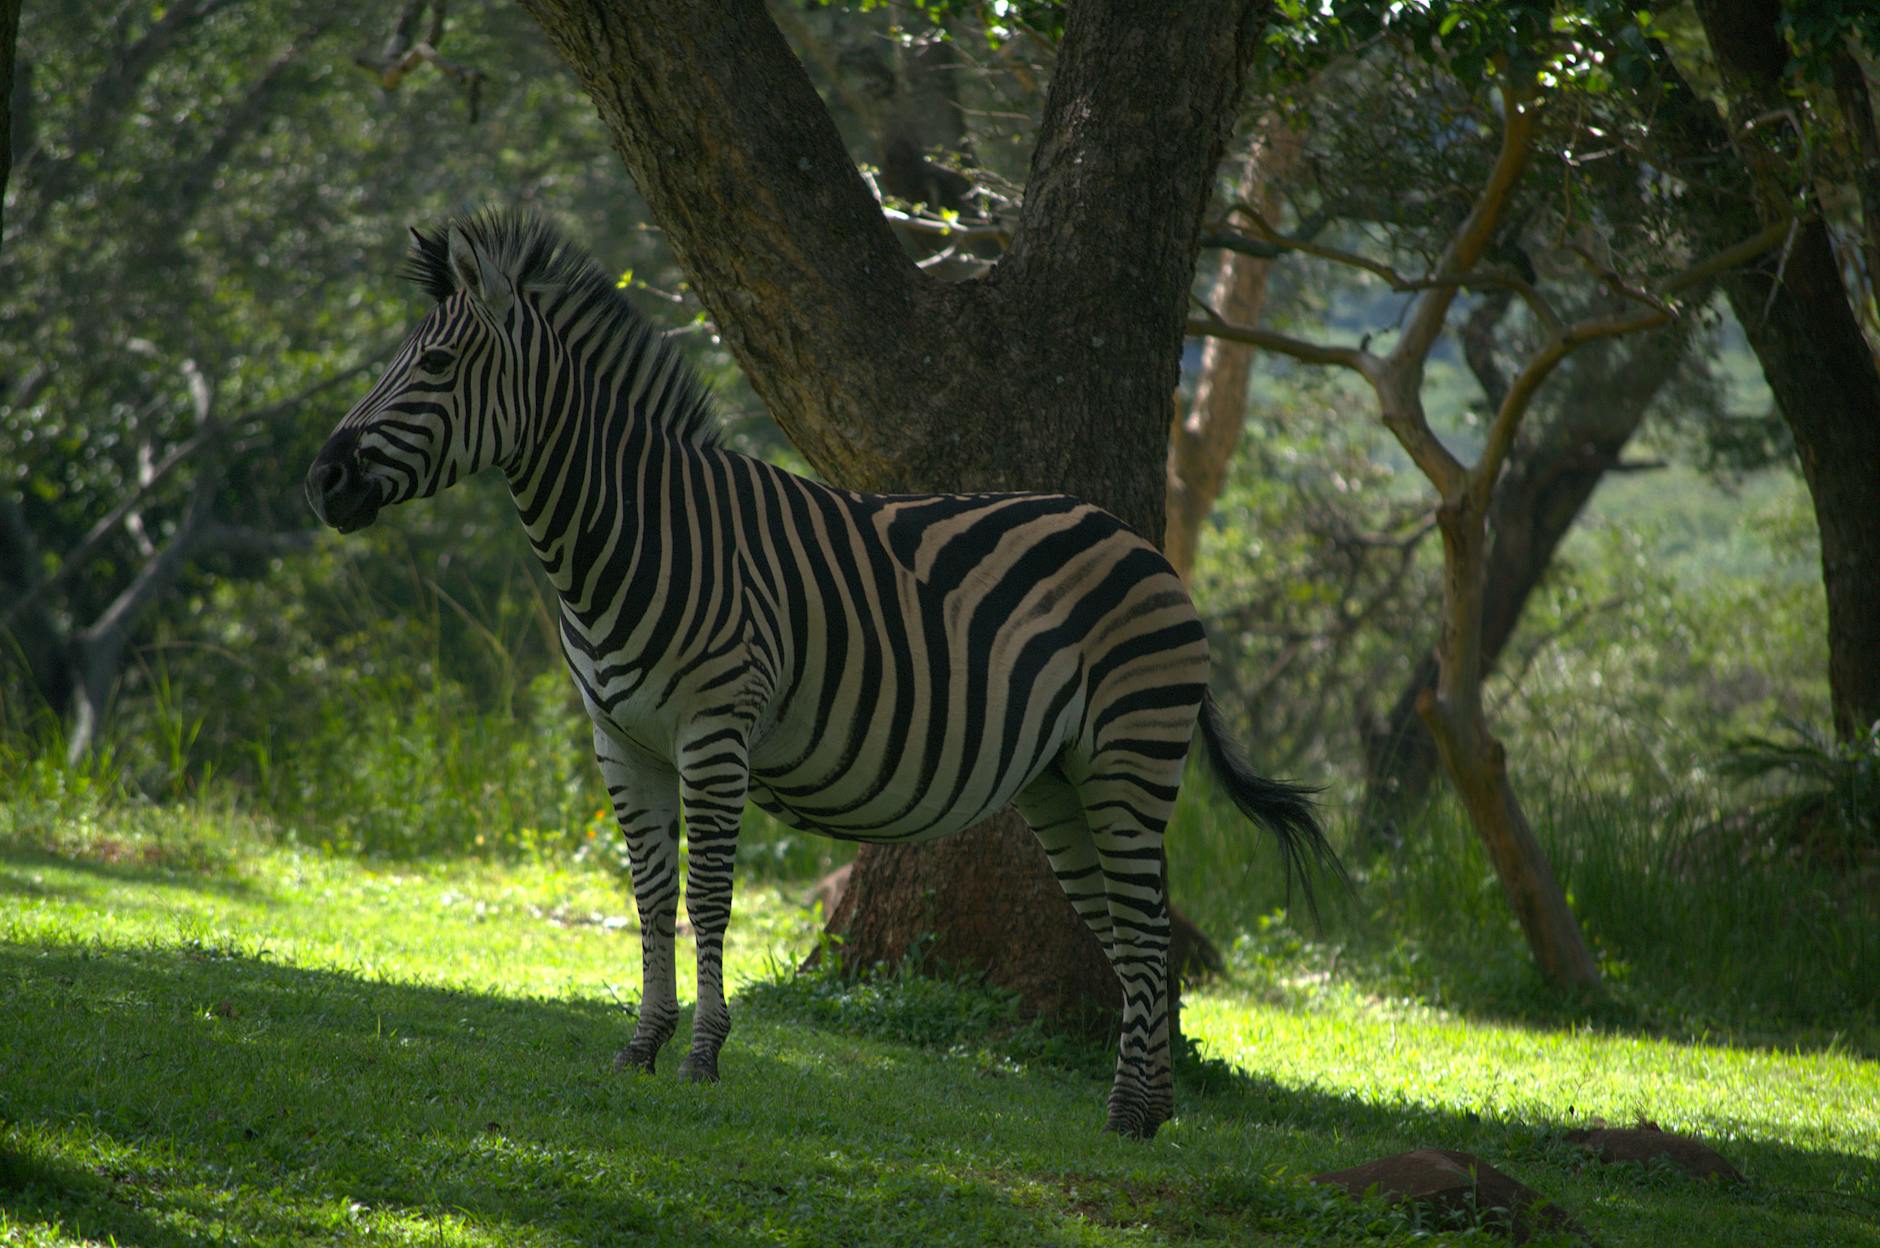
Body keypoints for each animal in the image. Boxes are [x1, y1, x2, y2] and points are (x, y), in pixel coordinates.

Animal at [306, 211, 1338, 1139]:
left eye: (438, 367)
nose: (322, 480)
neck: (630, 538)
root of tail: (1145, 546)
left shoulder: (714, 732)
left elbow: (707, 897)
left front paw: (705, 1055)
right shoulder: (621, 742)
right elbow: (650, 894)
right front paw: (641, 1045)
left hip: (1130, 761)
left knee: (1151, 932)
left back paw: (1130, 1115)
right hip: (1064, 785)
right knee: (1134, 938)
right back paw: (1147, 1112)